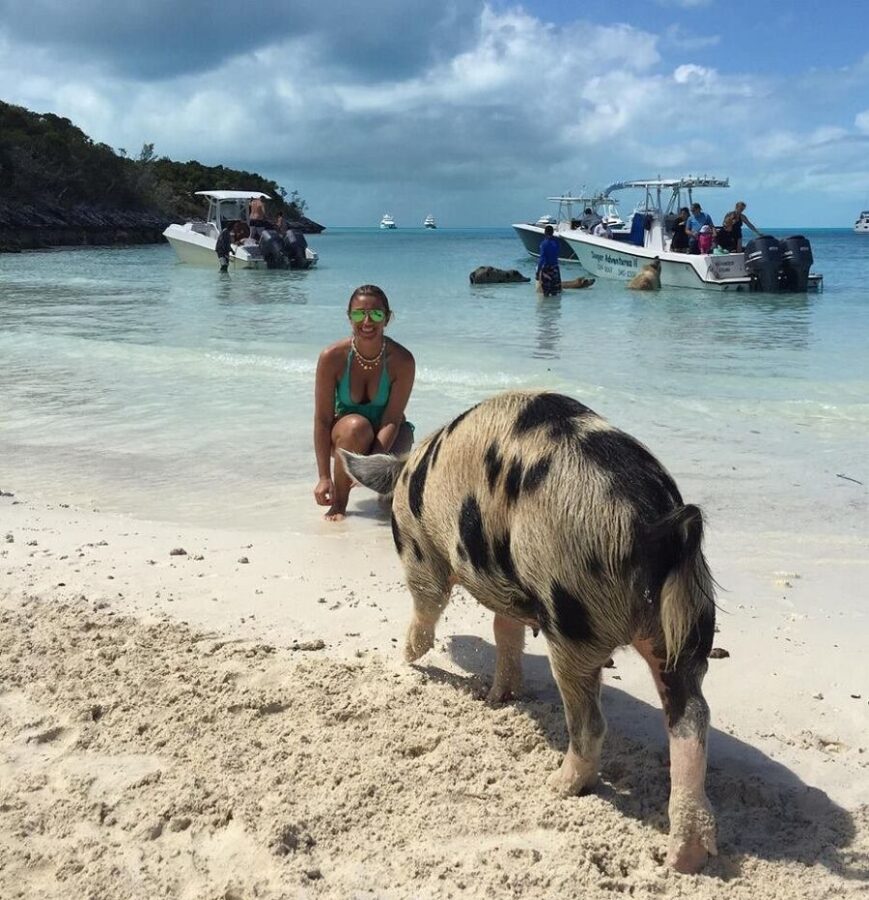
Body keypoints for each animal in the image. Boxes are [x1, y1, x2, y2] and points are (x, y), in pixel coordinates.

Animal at [341, 390, 717, 873]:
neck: (409, 473)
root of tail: (656, 526)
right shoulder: (512, 589)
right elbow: (505, 631)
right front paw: (497, 697)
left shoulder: (419, 548)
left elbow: (427, 607)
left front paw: (405, 658)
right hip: (684, 627)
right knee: (692, 716)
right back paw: (686, 857)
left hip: (573, 618)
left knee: (591, 723)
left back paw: (558, 784)